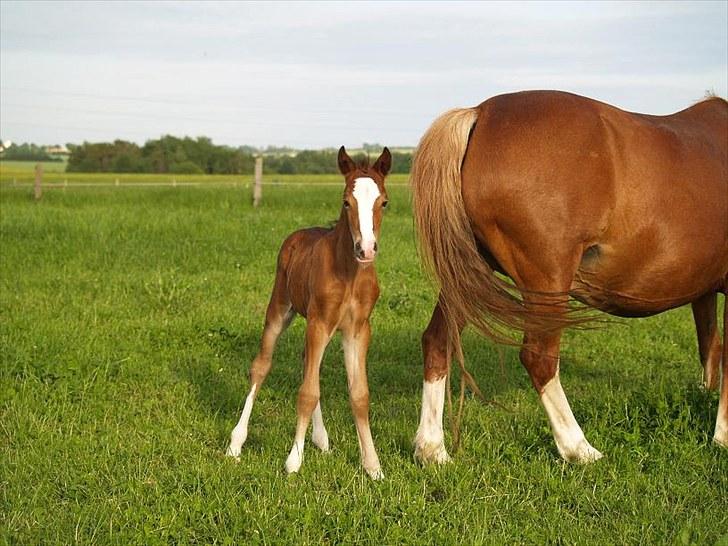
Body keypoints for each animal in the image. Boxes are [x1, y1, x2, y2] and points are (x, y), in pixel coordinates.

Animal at [226, 147, 392, 478]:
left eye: (383, 202)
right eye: (346, 201)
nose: (366, 249)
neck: (350, 273)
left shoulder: (358, 330)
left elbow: (359, 395)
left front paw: (372, 465)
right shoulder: (319, 322)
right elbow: (307, 392)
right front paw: (294, 460)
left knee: (308, 365)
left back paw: (321, 439)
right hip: (280, 308)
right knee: (262, 366)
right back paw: (236, 443)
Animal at [412, 90, 724, 464]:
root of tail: (481, 113)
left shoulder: (704, 291)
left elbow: (711, 348)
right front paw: (722, 436)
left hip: (468, 275)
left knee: (437, 341)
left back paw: (432, 450)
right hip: (547, 282)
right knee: (538, 359)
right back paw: (578, 447)